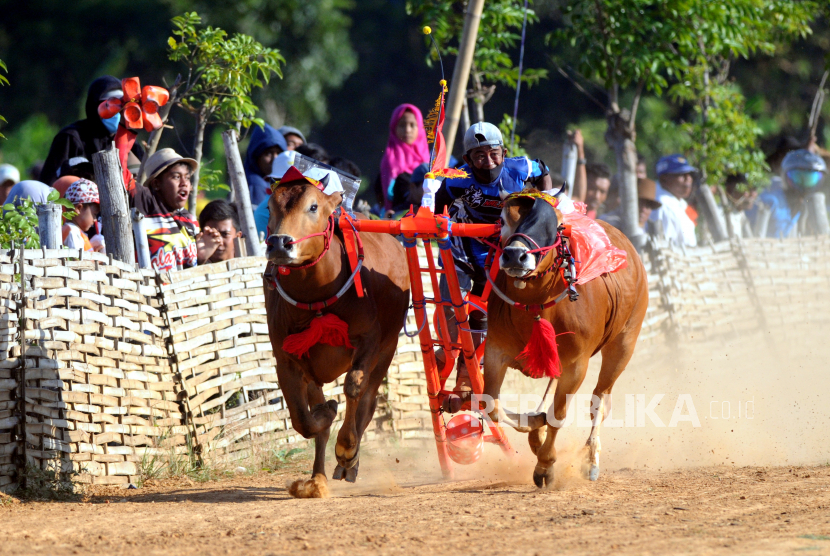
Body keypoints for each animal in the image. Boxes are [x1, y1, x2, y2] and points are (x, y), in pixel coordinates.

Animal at [264, 172, 412, 498]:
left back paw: (349, 462)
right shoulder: (287, 359)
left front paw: (346, 449)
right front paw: (326, 414)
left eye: (313, 206)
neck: (318, 296)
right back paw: (317, 479)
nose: (280, 243)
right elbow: (304, 420)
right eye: (270, 207)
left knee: (367, 404)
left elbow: (354, 388)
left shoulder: (370, 342)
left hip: (387, 350)